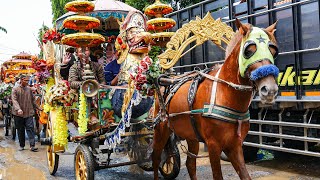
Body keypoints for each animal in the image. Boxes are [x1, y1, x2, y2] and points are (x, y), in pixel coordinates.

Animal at [151, 19, 278, 179]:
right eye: (249, 51)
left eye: (273, 51)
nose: (270, 89)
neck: (225, 95)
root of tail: (166, 81)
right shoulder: (213, 145)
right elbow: (217, 175)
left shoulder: (235, 144)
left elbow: (245, 175)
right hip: (161, 129)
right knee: (155, 158)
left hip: (191, 135)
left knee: (190, 164)